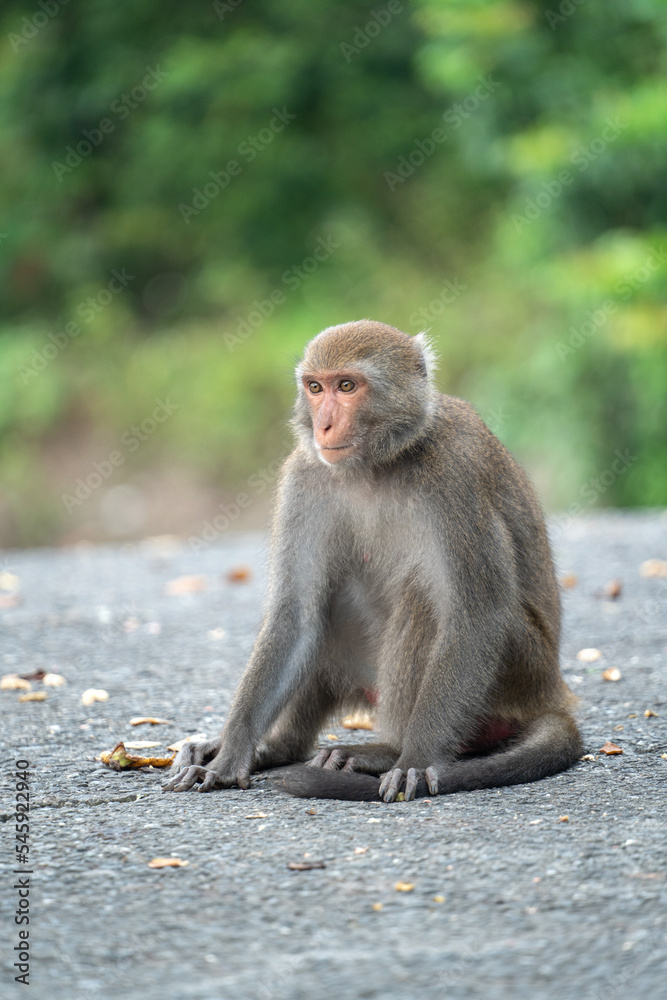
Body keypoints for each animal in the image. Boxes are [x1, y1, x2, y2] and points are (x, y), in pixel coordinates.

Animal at [164, 320, 580, 804]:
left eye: (347, 386)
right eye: (315, 387)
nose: (323, 424)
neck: (377, 465)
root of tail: (551, 694)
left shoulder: (455, 475)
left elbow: (477, 614)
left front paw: (416, 759)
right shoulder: (305, 478)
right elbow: (296, 615)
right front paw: (231, 757)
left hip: (520, 672)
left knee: (424, 599)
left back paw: (387, 751)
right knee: (327, 607)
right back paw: (278, 748)